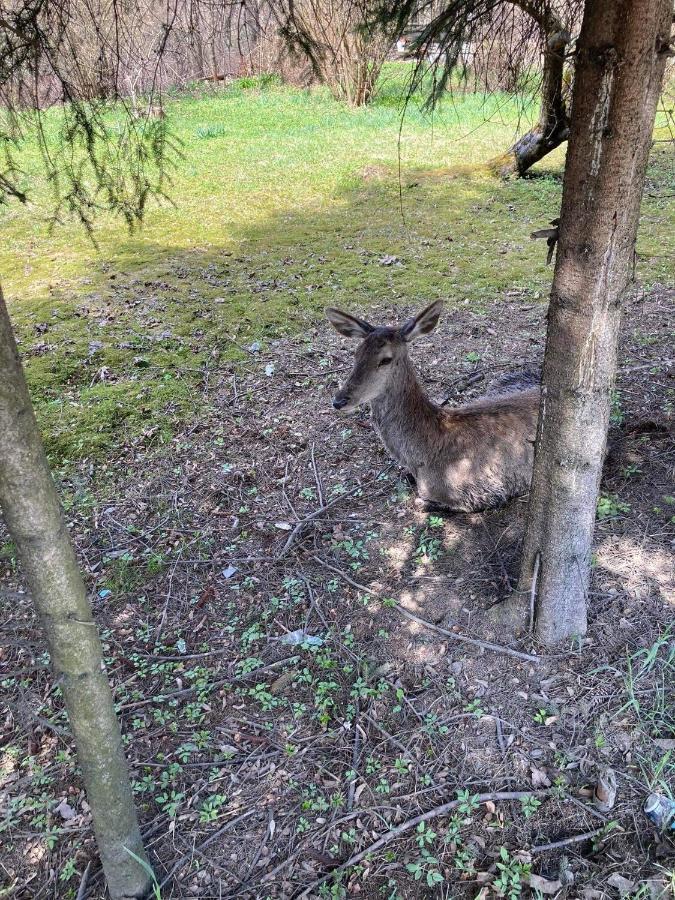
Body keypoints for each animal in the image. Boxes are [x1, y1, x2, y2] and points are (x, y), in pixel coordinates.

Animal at [324, 300, 540, 512]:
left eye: (386, 359)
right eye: (356, 354)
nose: (339, 400)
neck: (421, 456)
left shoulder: (481, 492)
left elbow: (422, 502)